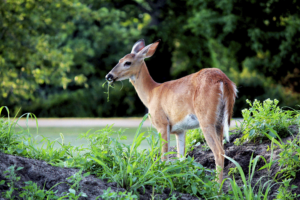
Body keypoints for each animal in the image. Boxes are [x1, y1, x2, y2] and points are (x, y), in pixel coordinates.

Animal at [105, 39, 237, 183]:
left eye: (127, 62)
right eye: (119, 60)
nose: (108, 76)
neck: (151, 94)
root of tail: (224, 80)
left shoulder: (162, 124)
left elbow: (164, 156)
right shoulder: (180, 130)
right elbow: (181, 158)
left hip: (206, 118)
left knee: (219, 152)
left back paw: (216, 186)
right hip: (220, 120)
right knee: (222, 149)